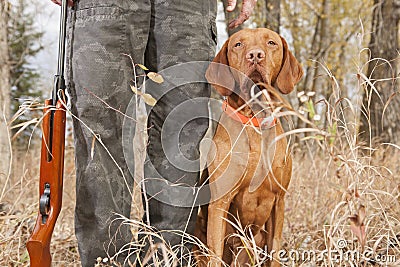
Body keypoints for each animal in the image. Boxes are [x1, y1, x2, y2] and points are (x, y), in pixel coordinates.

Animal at [194, 28, 304, 266]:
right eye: (238, 44)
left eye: (271, 43)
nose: (255, 55)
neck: (255, 120)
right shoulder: (220, 202)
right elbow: (215, 253)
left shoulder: (279, 201)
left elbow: (275, 253)